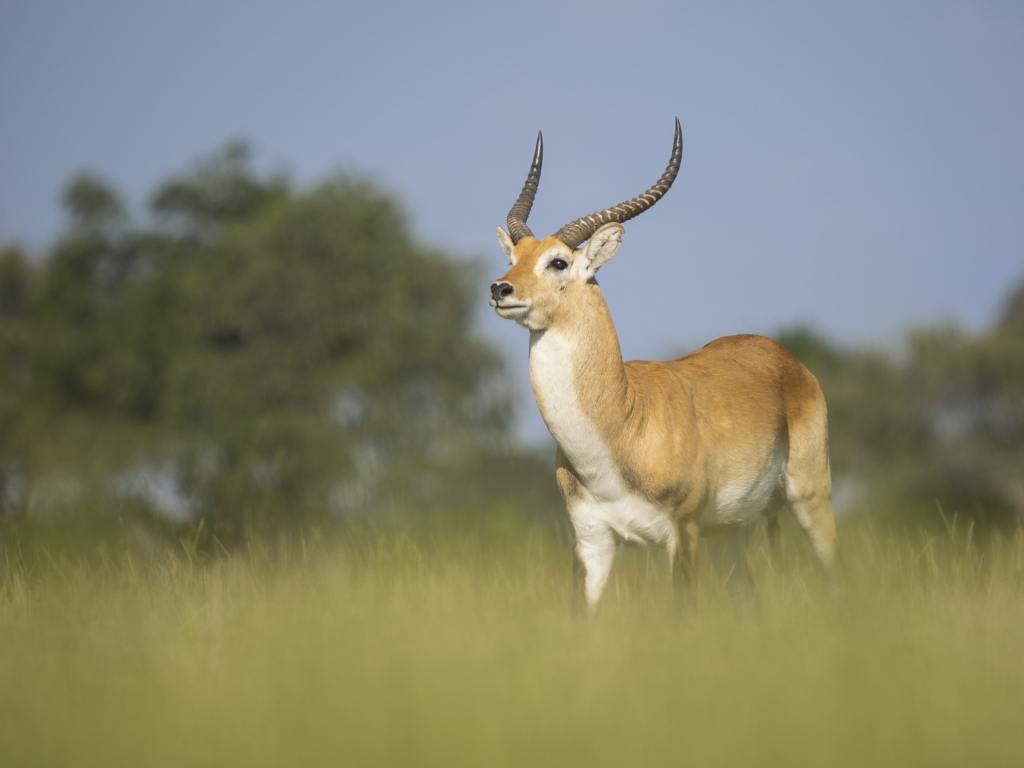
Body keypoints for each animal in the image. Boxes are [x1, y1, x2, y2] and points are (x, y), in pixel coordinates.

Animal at [489, 118, 839, 614]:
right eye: (513, 258)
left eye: (558, 262)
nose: (501, 289)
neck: (623, 422)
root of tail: (782, 356)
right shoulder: (592, 539)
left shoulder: (683, 532)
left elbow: (683, 615)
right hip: (739, 531)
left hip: (810, 495)